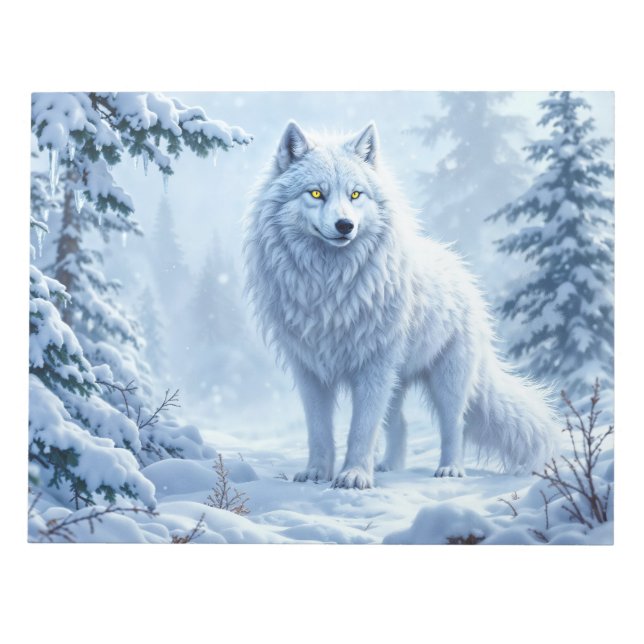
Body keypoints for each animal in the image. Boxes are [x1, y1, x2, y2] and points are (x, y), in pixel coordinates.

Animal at [243, 120, 556, 489]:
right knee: (400, 424)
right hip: (396, 380)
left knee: (456, 425)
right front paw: (317, 473)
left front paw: (354, 476)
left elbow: (361, 429)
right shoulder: (310, 369)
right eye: (316, 193)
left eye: (355, 194)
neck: (329, 284)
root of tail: (463, 272)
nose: (345, 226)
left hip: (446, 380)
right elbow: (319, 430)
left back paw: (450, 470)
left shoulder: (373, 367)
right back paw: (390, 467)